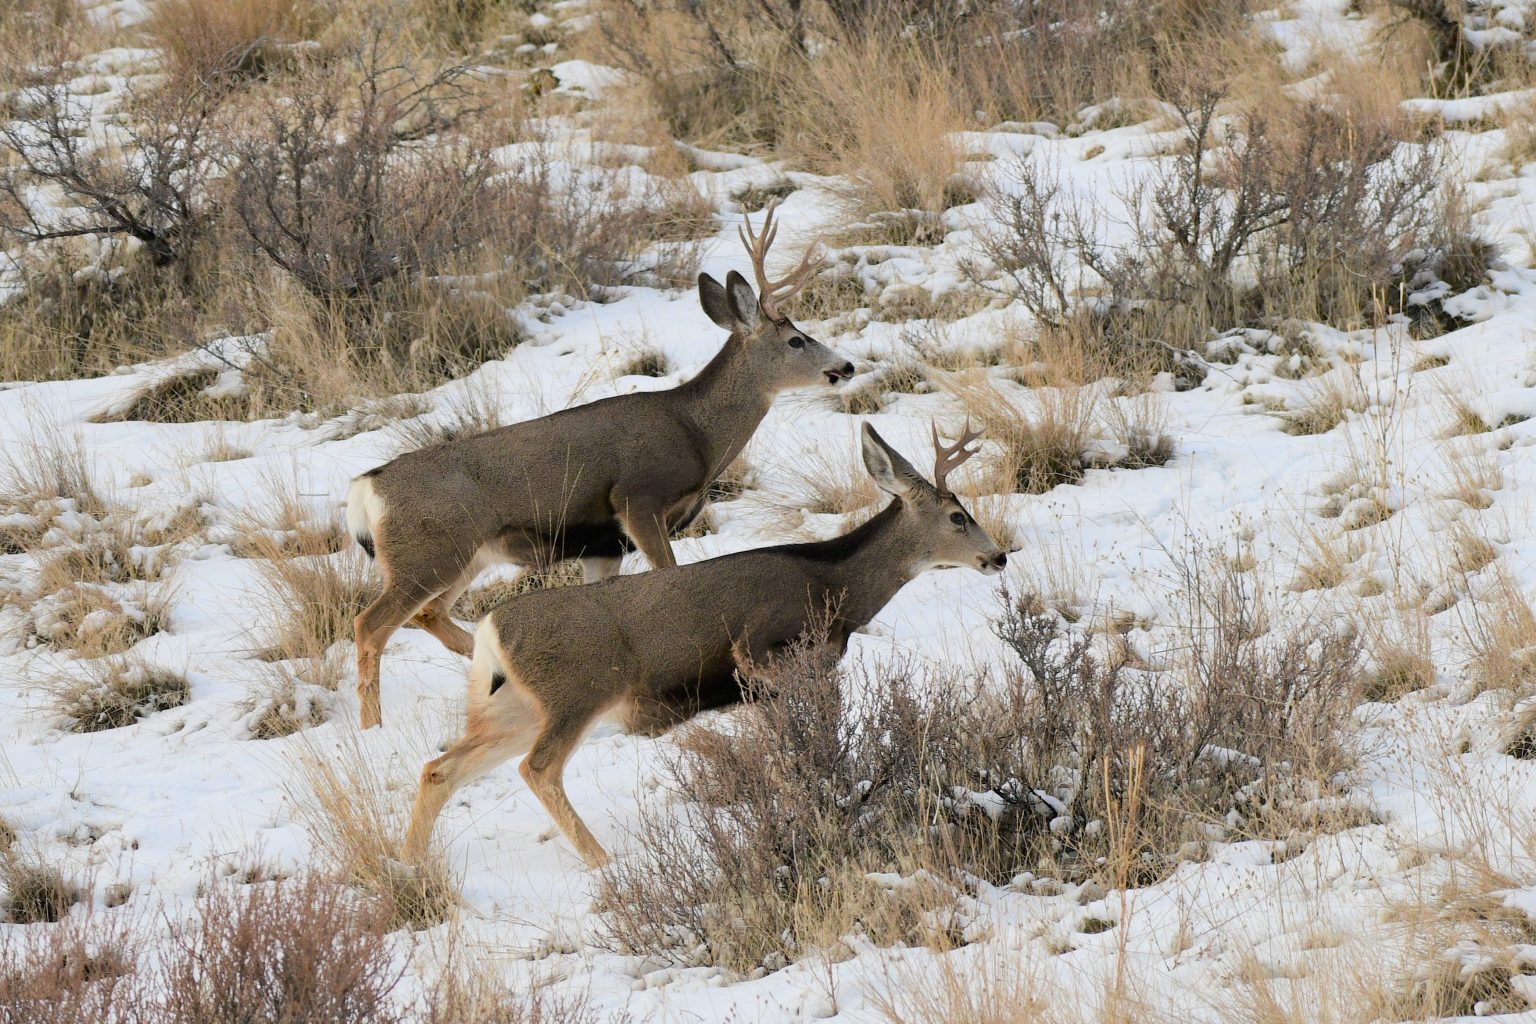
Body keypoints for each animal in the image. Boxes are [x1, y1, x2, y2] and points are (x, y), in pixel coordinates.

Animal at [342, 202, 860, 727]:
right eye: (796, 340)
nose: (846, 366)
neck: (695, 431)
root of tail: (365, 488)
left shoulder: (602, 546)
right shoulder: (638, 498)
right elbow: (668, 570)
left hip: (463, 557)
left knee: (428, 615)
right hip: (429, 554)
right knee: (369, 624)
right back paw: (373, 724)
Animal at [402, 420, 1007, 872]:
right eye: (958, 516)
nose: (998, 556)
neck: (836, 588)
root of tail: (490, 631)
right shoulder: (761, 651)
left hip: (510, 707)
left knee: (440, 768)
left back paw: (410, 863)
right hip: (578, 691)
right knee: (538, 768)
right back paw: (603, 861)